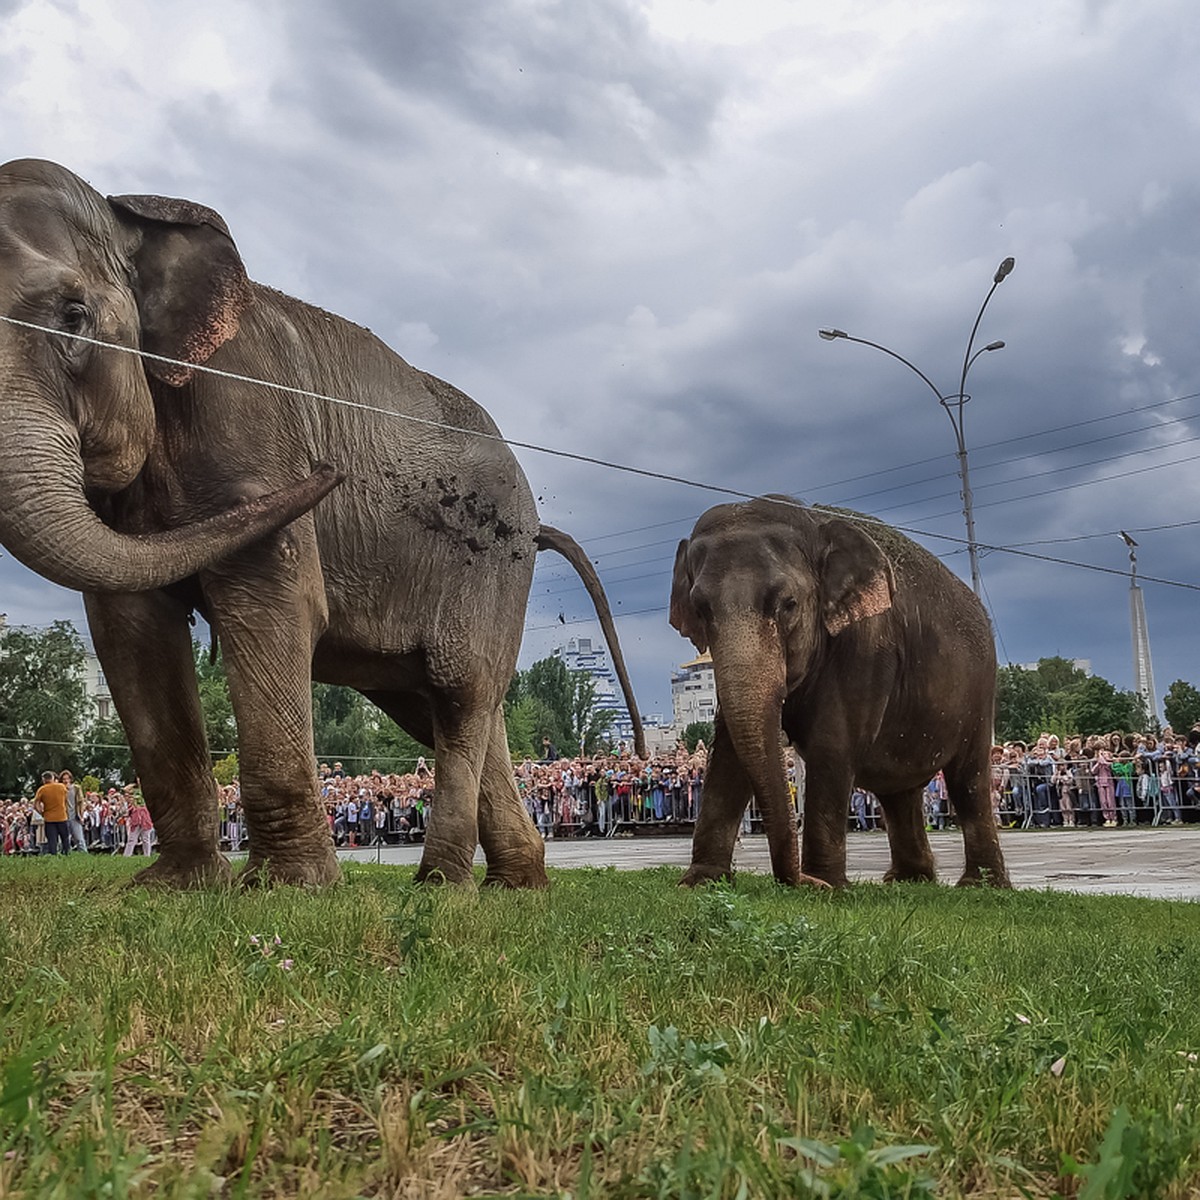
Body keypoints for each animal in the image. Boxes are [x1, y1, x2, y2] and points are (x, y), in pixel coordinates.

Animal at [0, 157, 648, 892]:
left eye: (74, 317)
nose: (330, 468)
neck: (128, 218)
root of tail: (536, 525)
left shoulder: (251, 423)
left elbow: (273, 602)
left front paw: (286, 888)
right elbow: (130, 629)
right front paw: (176, 887)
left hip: (490, 565)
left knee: (459, 695)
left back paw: (442, 887)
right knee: (449, 706)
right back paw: (514, 886)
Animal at [672, 496, 1008, 892]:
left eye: (788, 603)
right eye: (700, 609)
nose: (796, 880)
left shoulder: (867, 646)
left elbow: (831, 745)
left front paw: (825, 884)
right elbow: (727, 751)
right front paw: (700, 881)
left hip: (979, 691)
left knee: (968, 781)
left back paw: (981, 885)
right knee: (899, 791)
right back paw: (908, 880)